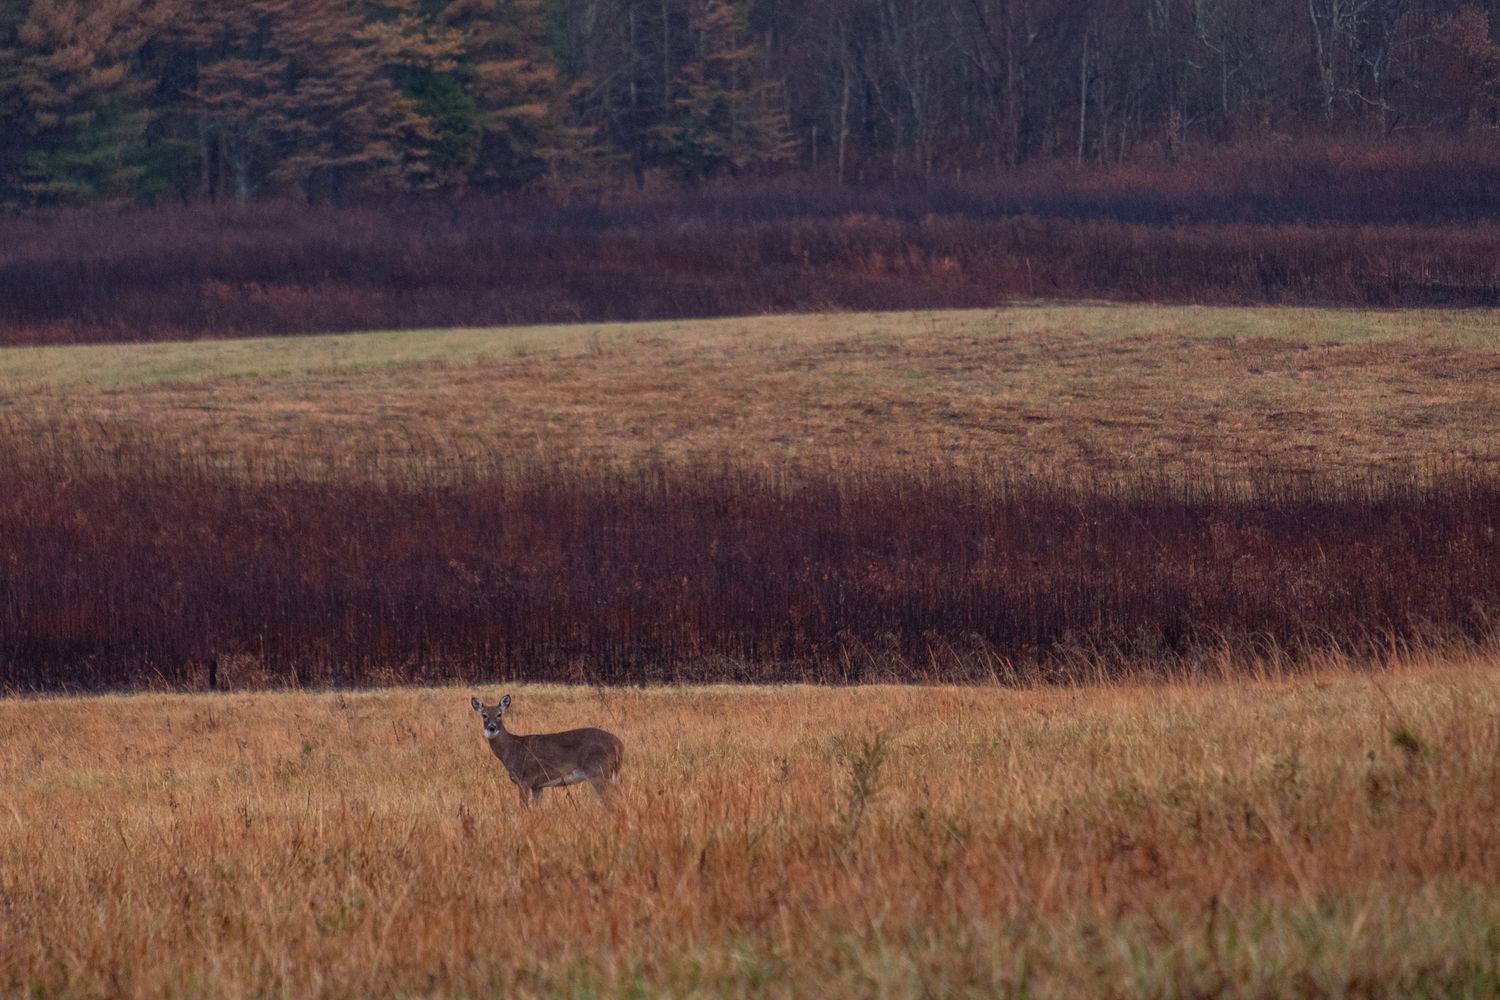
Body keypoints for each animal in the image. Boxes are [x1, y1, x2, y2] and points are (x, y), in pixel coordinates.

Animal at [470, 693, 624, 807]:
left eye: (499, 714)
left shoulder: (525, 779)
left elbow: (524, 806)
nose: (491, 728)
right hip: (610, 773)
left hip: (598, 771)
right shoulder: (538, 785)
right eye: (484, 715)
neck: (512, 749)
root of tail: (619, 744)